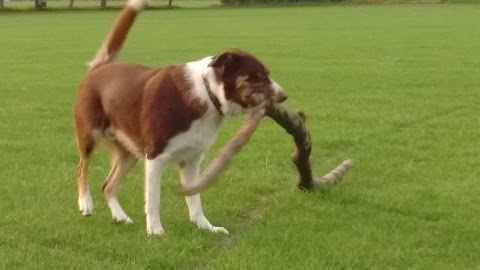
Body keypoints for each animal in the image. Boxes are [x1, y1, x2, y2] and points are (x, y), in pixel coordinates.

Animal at [73, 0, 286, 234]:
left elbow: (195, 198)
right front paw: (155, 231)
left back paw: (121, 217)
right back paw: (86, 203)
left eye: (267, 74)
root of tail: (100, 68)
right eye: (258, 76)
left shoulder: (191, 160)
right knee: (82, 168)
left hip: (128, 154)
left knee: (108, 186)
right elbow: (153, 200)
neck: (207, 94)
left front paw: (205, 227)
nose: (284, 96)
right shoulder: (155, 157)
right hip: (90, 136)